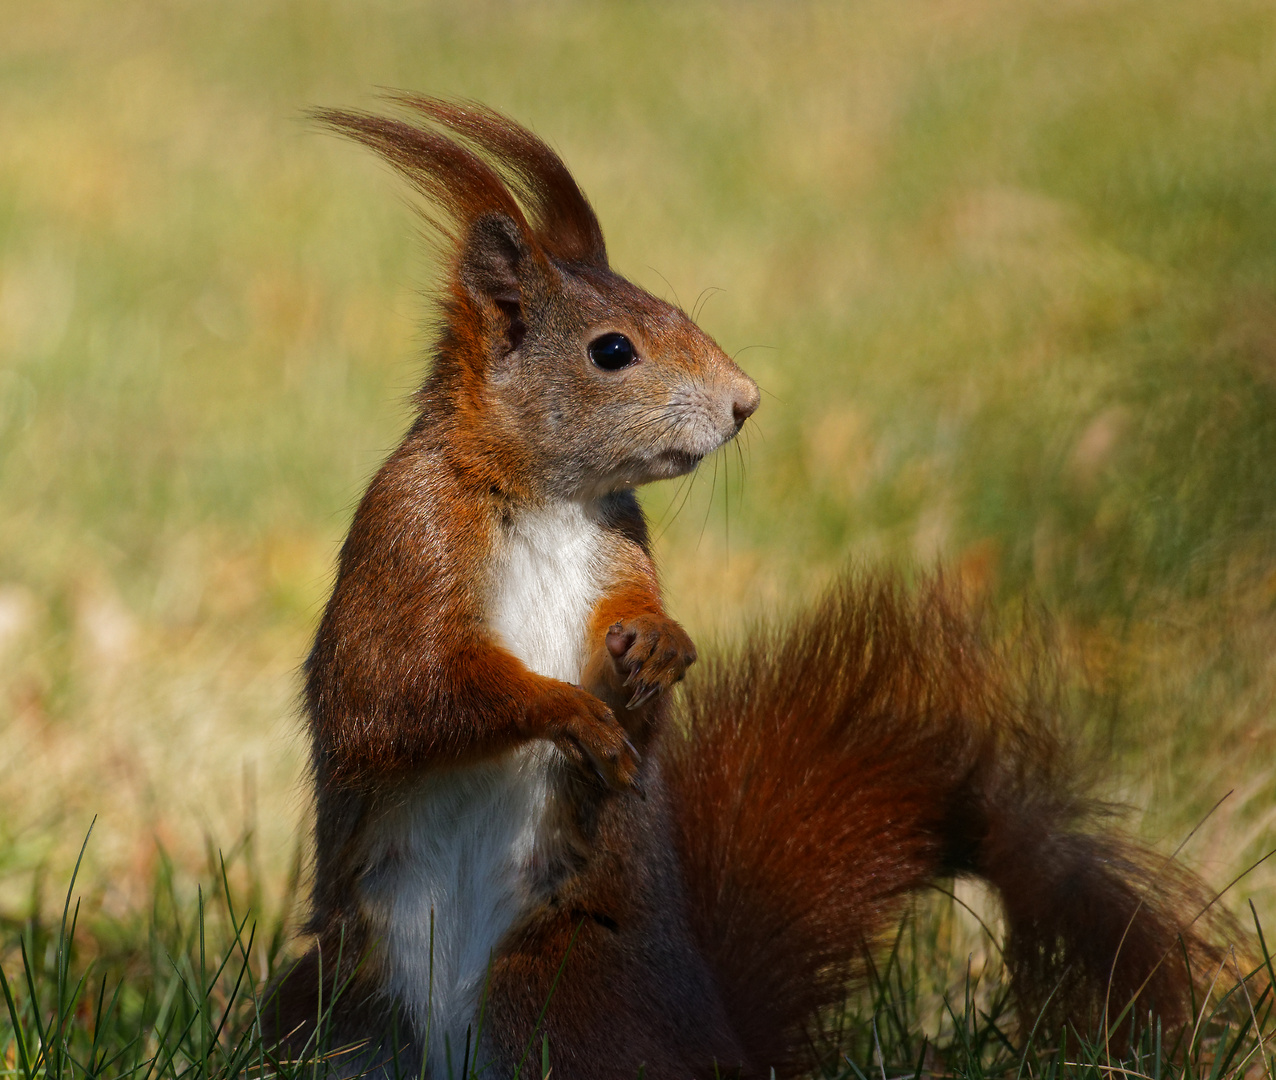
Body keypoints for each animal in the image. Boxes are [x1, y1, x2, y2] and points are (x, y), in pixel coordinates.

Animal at [269, 97, 1235, 1077]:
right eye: (611, 350)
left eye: (674, 308)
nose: (746, 402)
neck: (549, 499)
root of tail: (719, 1041)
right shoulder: (408, 547)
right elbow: (396, 695)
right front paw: (567, 711)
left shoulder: (622, 551)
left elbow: (634, 681)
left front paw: (663, 644)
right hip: (347, 1004)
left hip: (557, 984)